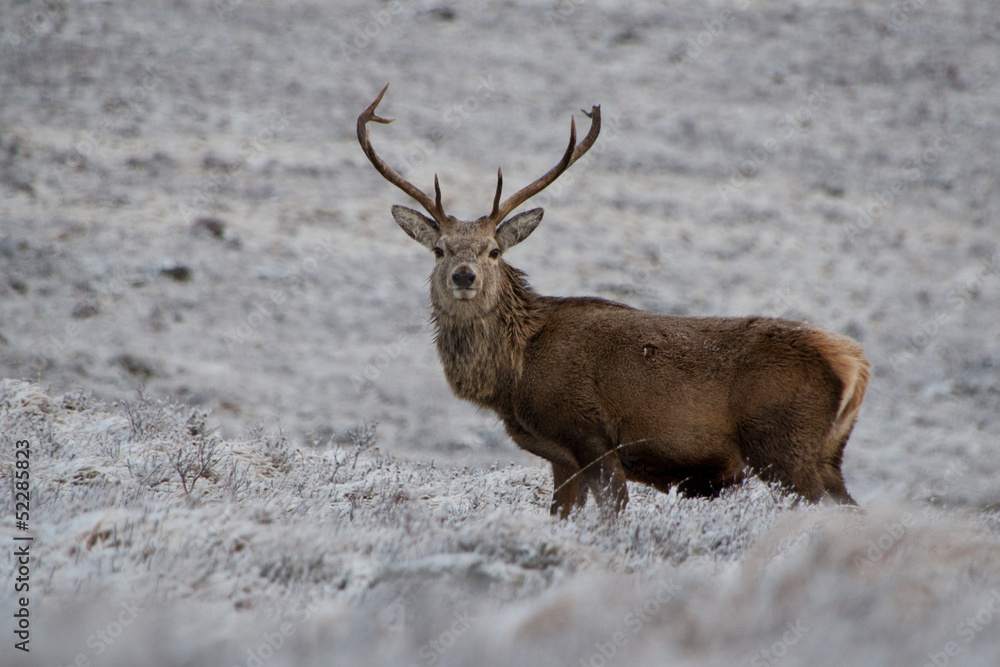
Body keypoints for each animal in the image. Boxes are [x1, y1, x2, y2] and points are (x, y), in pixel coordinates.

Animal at [357, 84, 870, 518]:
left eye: (494, 250)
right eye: (439, 249)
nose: (464, 275)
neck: (516, 374)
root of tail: (853, 362)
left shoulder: (594, 437)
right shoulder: (561, 458)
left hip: (784, 445)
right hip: (826, 455)